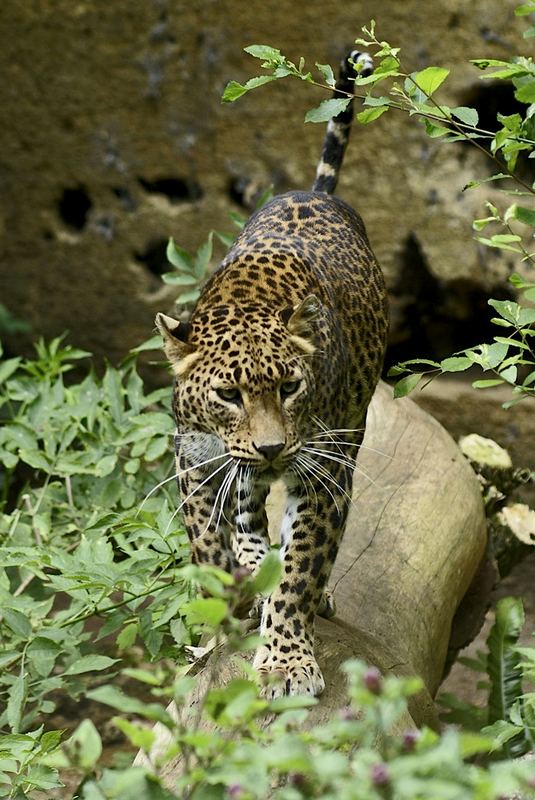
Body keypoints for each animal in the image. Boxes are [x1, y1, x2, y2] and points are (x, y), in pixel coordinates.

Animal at [156, 50, 390, 696]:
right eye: (227, 394)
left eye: (290, 387)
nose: (271, 447)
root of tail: (312, 192)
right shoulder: (196, 457)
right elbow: (210, 547)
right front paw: (229, 606)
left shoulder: (324, 474)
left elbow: (301, 570)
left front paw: (287, 660)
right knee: (246, 510)